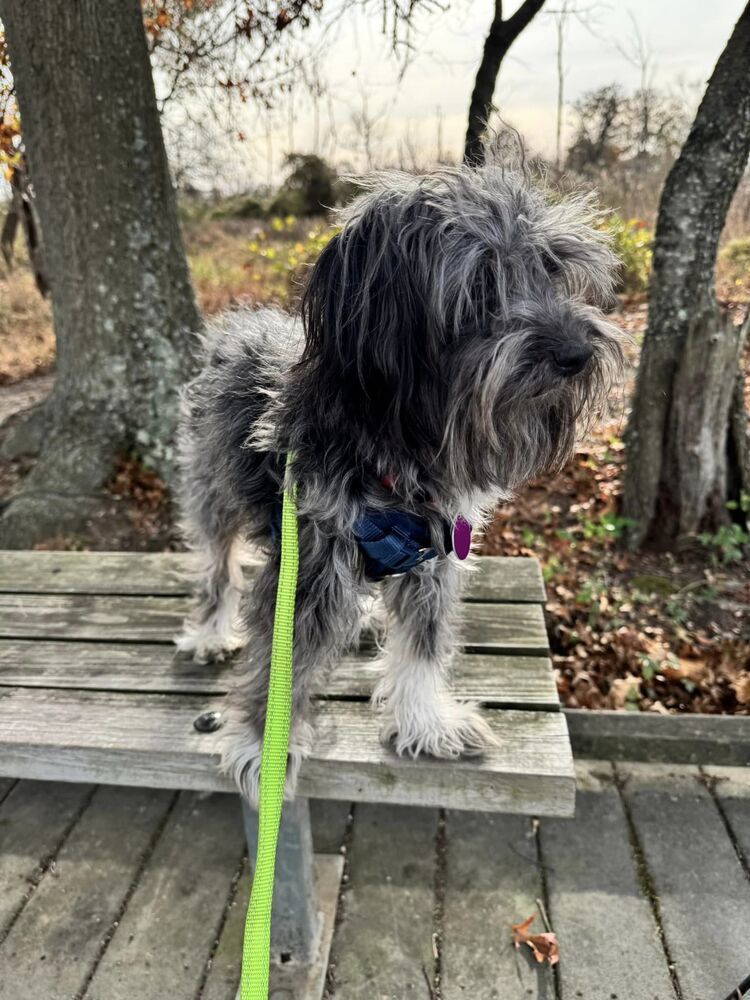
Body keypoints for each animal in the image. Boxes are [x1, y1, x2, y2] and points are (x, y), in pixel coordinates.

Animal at [175, 160, 624, 808]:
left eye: (552, 270)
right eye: (481, 288)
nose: (577, 352)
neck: (399, 448)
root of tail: (237, 323)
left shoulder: (431, 558)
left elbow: (422, 645)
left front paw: (426, 721)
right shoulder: (309, 561)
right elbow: (285, 661)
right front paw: (264, 745)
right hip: (213, 493)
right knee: (217, 566)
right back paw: (212, 632)